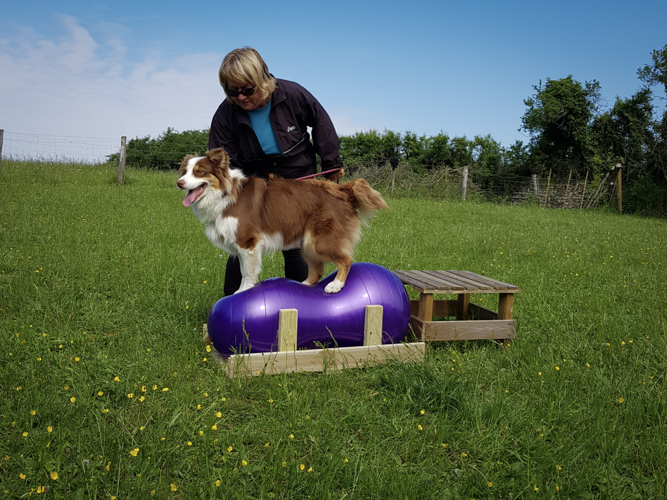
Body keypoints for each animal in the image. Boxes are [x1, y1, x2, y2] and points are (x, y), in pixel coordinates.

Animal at [177, 147, 388, 292]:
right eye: (184, 172)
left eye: (199, 172)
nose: (179, 183)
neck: (225, 194)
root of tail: (342, 190)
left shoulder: (248, 243)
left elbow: (247, 273)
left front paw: (243, 292)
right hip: (307, 243)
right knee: (317, 271)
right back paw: (302, 286)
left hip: (320, 240)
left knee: (345, 260)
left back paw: (335, 285)